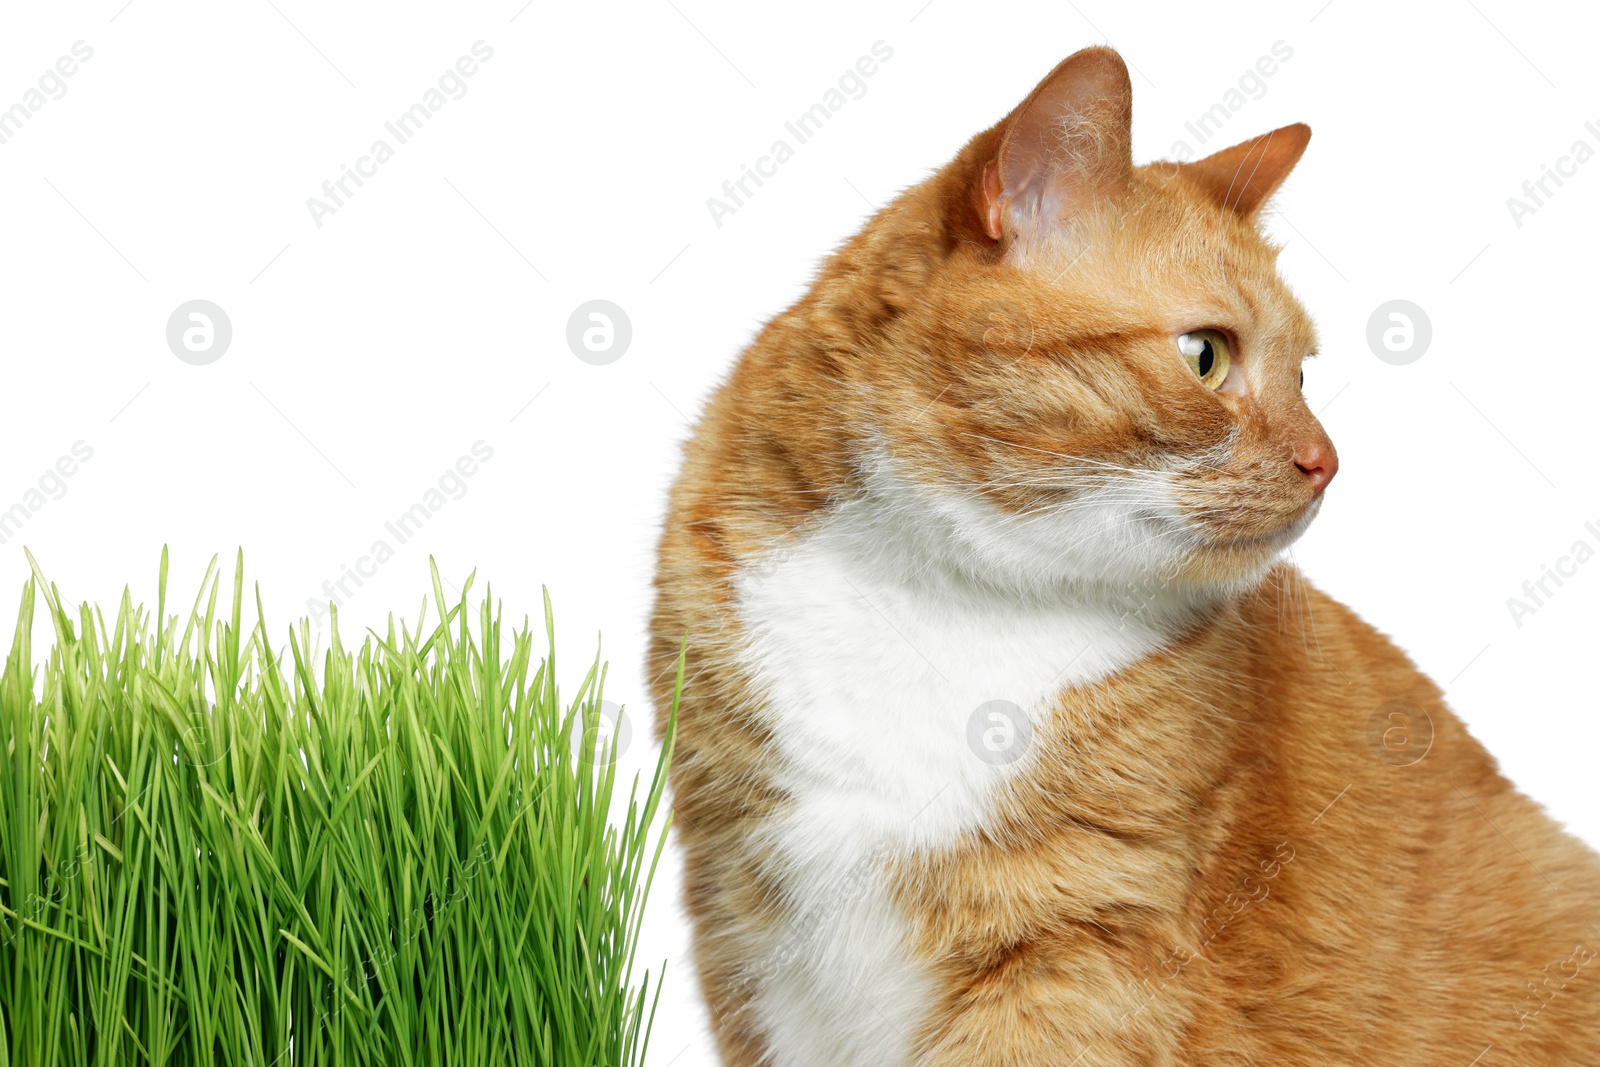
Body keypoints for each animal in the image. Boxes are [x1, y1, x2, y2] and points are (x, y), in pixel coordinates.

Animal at [646, 43, 1600, 1067]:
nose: (1328, 461)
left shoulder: (1080, 950)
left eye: (1303, 373)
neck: (936, 597)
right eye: (1206, 355)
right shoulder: (745, 922)